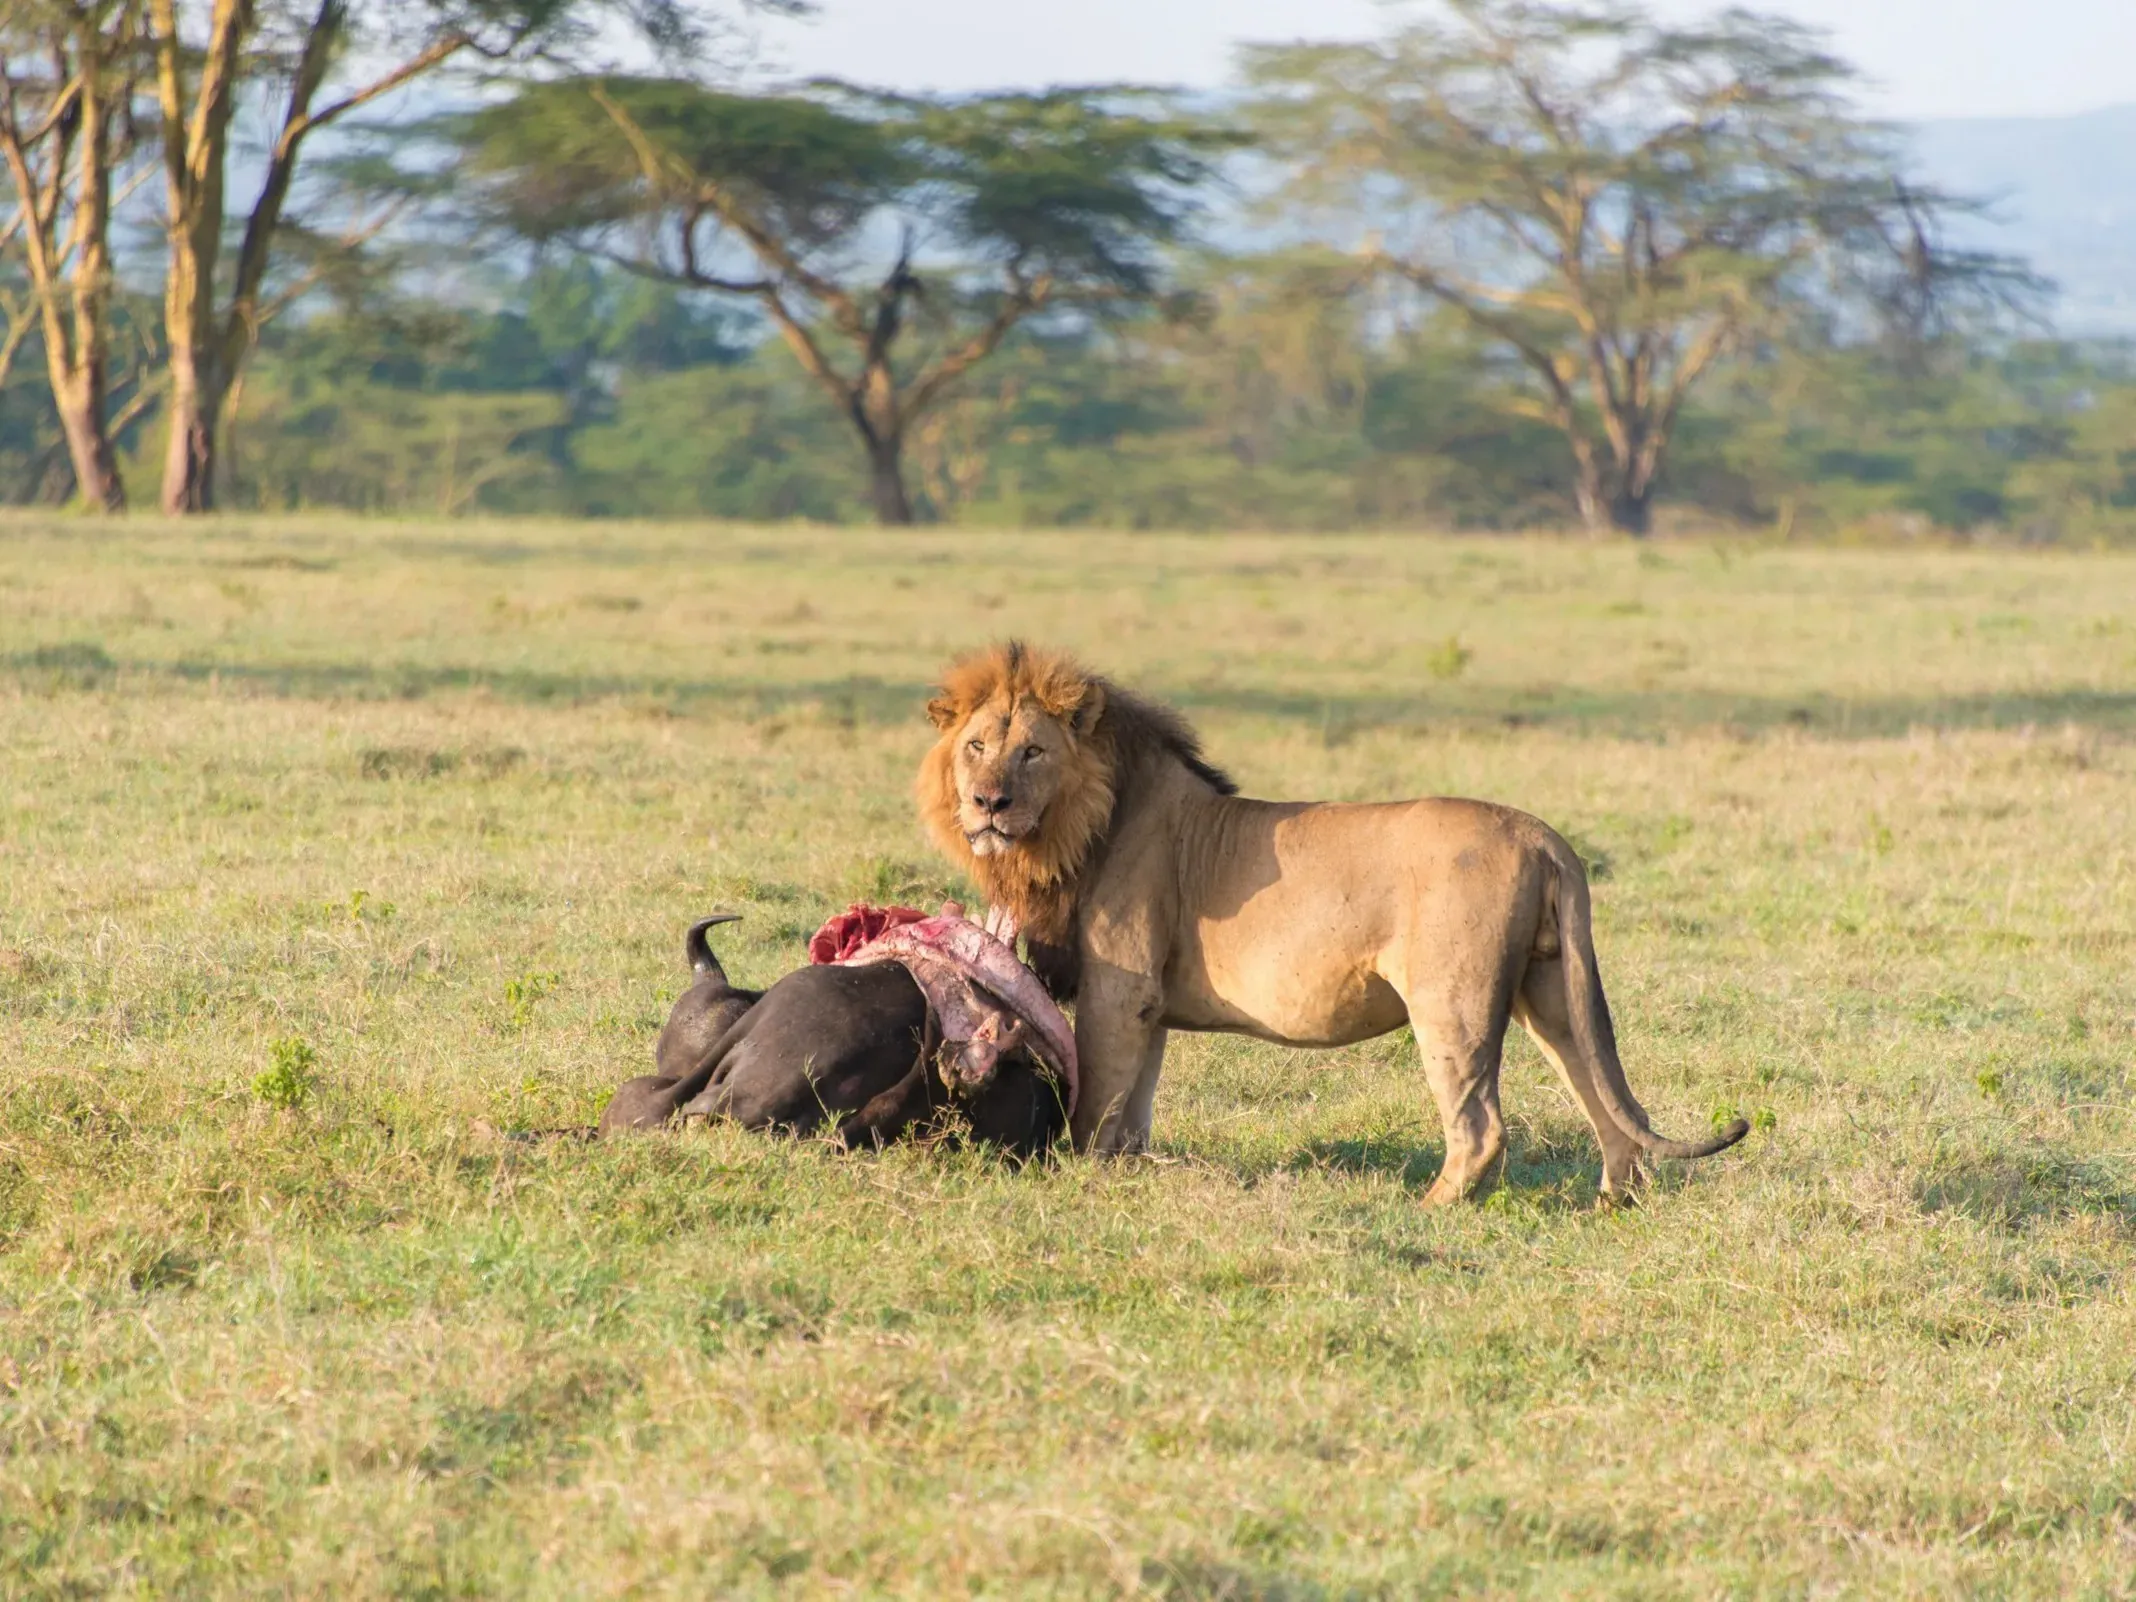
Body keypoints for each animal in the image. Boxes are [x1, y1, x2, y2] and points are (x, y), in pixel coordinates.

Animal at [916, 641, 1748, 1203]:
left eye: (1033, 752)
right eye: (977, 747)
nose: (989, 802)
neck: (1077, 827)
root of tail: (1543, 835)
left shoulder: (1120, 993)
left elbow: (1098, 1105)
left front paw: (1086, 1178)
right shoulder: (1145, 1007)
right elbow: (1136, 1104)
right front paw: (1129, 1171)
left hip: (1451, 1000)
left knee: (1481, 1125)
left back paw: (1431, 1208)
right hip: (1550, 989)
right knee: (1602, 1095)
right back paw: (1614, 1204)